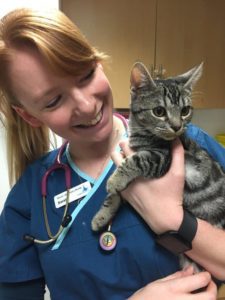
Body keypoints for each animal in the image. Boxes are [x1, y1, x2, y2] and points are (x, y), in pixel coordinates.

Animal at [91, 61, 225, 270]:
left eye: (185, 110)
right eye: (159, 111)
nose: (177, 126)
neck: (140, 136)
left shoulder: (161, 158)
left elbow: (136, 160)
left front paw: (114, 180)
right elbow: (115, 196)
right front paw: (102, 215)